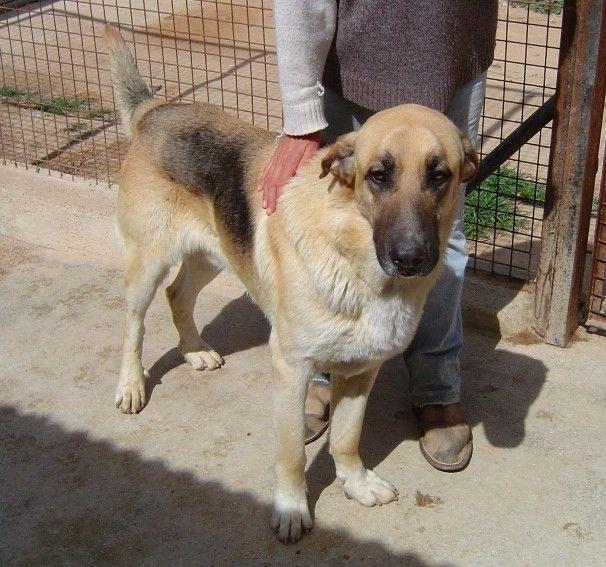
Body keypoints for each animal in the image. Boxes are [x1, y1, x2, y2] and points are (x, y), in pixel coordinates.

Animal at [105, 24, 480, 544]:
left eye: (439, 175)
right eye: (378, 176)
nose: (410, 259)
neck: (355, 262)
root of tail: (155, 110)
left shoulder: (362, 371)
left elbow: (346, 438)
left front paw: (355, 483)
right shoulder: (290, 368)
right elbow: (292, 453)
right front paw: (290, 507)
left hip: (213, 254)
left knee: (177, 295)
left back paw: (194, 350)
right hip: (148, 261)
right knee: (134, 323)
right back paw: (130, 385)